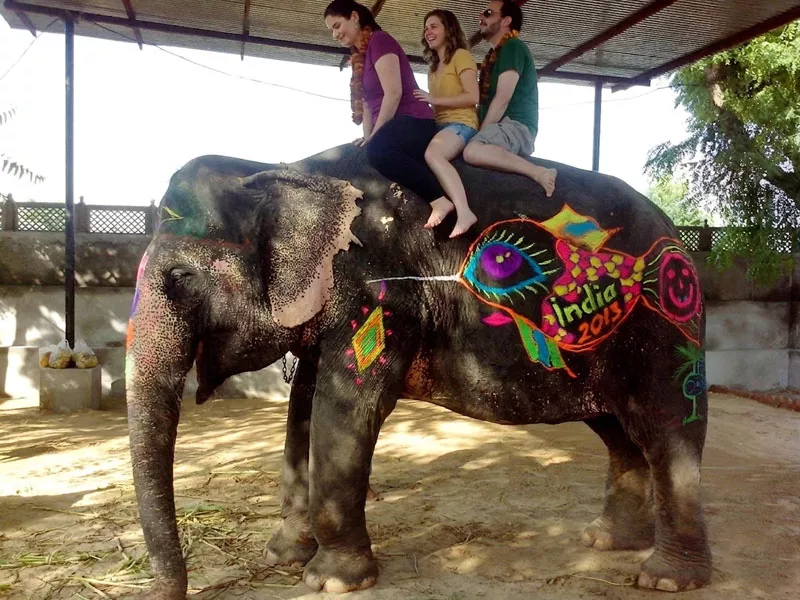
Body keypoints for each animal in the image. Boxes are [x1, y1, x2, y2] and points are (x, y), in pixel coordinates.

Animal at [125, 143, 711, 598]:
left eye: (180, 278)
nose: (170, 593)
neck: (283, 167)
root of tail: (675, 237)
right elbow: (302, 411)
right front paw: (283, 556)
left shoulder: (378, 293)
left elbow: (348, 411)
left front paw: (330, 582)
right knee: (619, 434)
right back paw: (607, 542)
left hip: (666, 334)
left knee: (667, 429)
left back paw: (665, 578)